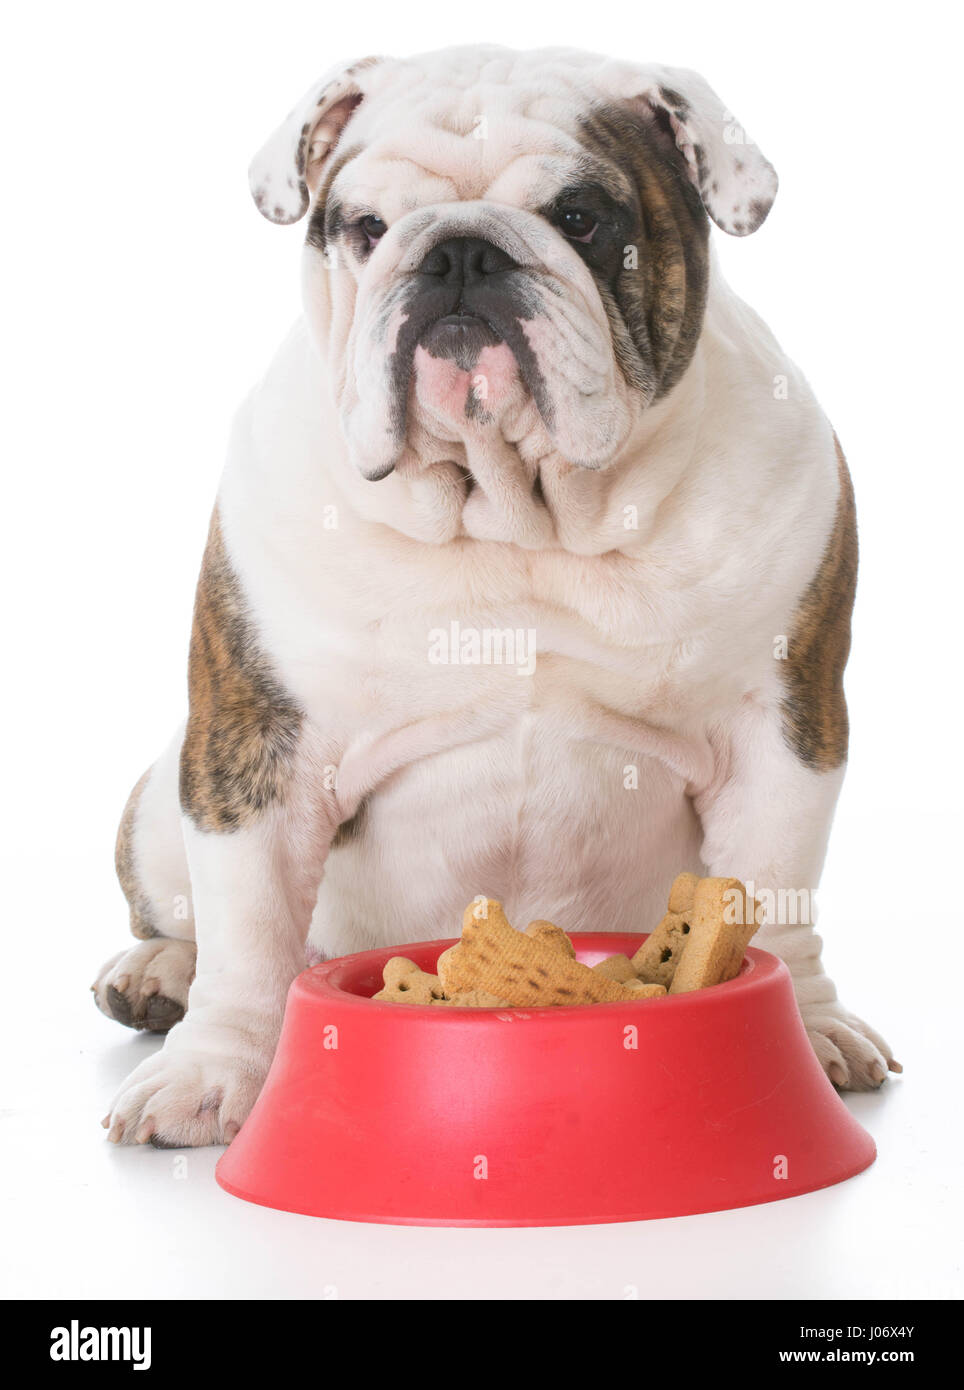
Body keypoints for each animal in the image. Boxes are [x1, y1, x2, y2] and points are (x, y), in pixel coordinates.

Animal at [96, 46, 900, 1150]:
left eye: (584, 218)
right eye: (366, 226)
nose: (460, 253)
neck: (514, 512)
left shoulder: (783, 727)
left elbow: (775, 893)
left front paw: (807, 1028)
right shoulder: (258, 739)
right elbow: (251, 922)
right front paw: (214, 1071)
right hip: (158, 795)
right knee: (191, 915)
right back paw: (155, 972)